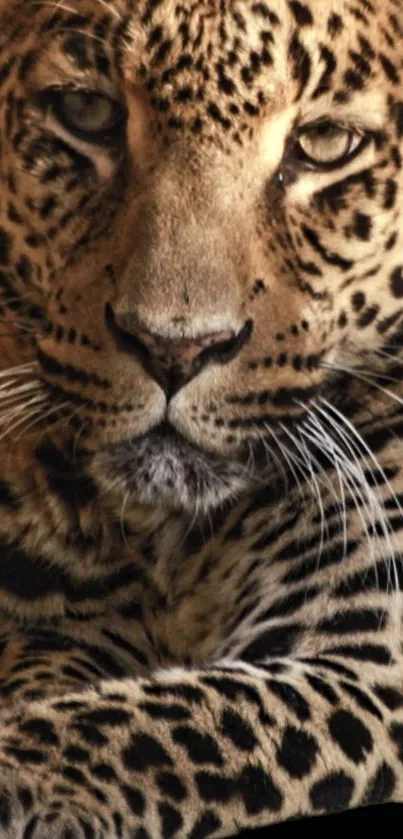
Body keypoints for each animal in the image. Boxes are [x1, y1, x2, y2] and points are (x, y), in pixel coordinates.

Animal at [0, 0, 402, 836]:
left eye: (324, 144)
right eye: (88, 114)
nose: (172, 349)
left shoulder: (369, 662)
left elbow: (149, 726)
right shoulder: (45, 615)